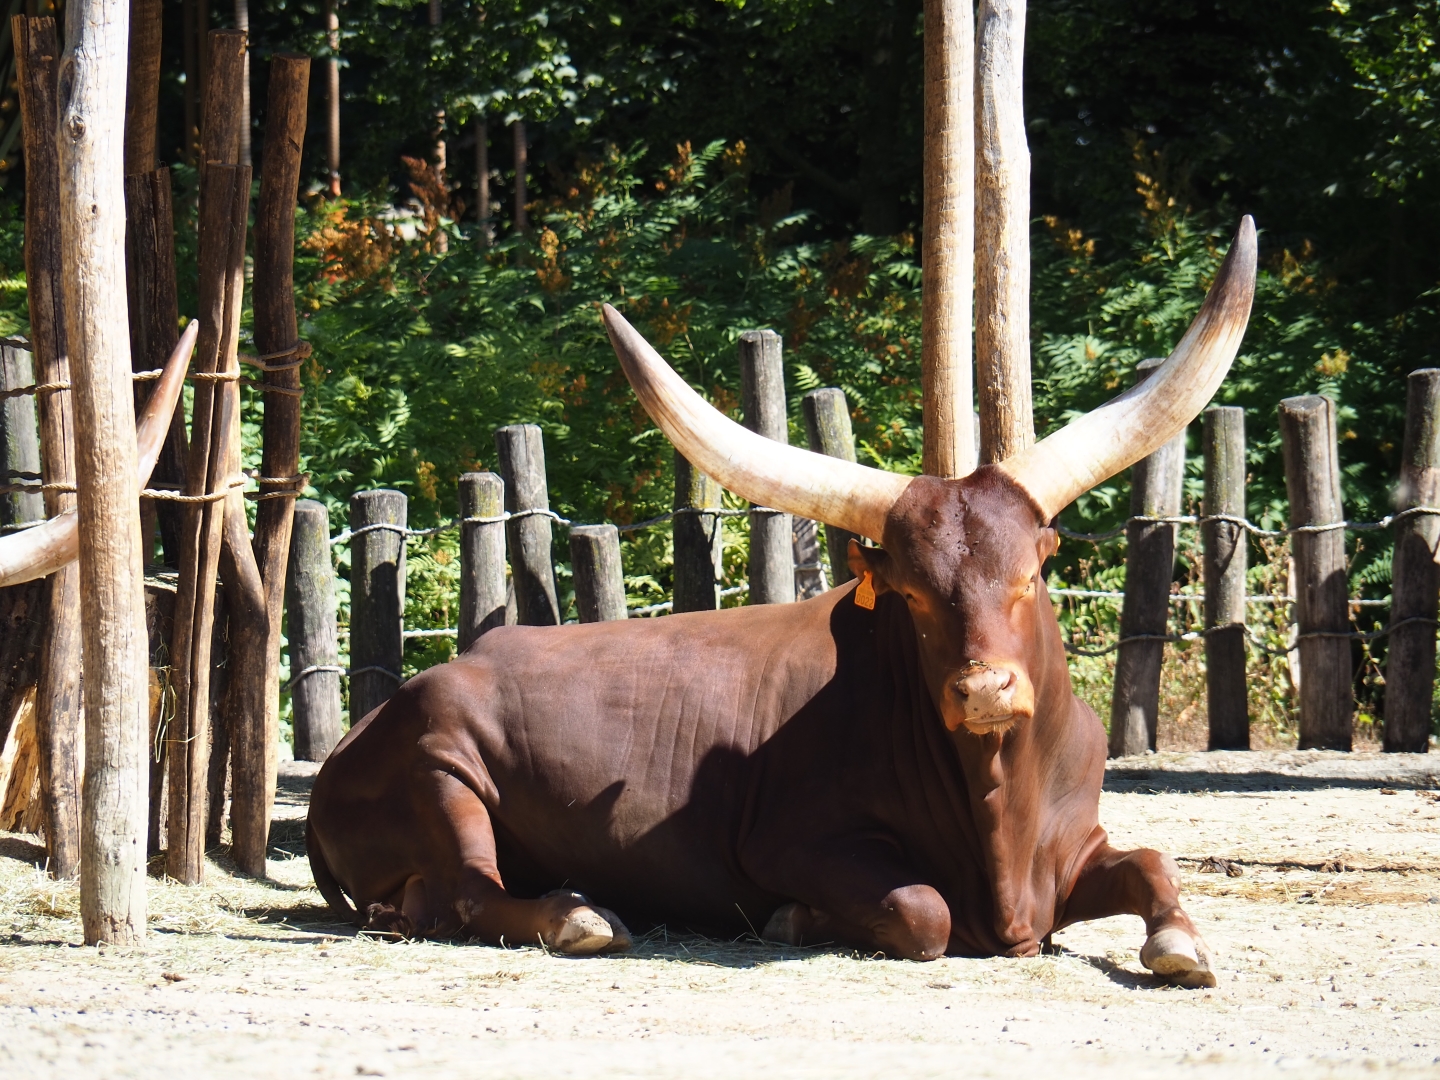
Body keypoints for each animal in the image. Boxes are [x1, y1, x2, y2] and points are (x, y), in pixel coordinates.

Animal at [305, 218, 1256, 988]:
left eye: (1031, 573)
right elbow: (924, 910)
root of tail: (367, 724)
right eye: (913, 595)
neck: (1004, 815)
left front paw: (1182, 945)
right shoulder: (794, 841)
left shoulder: (1076, 848)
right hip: (442, 771)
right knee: (465, 892)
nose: (985, 691)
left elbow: (1154, 862)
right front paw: (799, 918)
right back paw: (575, 916)